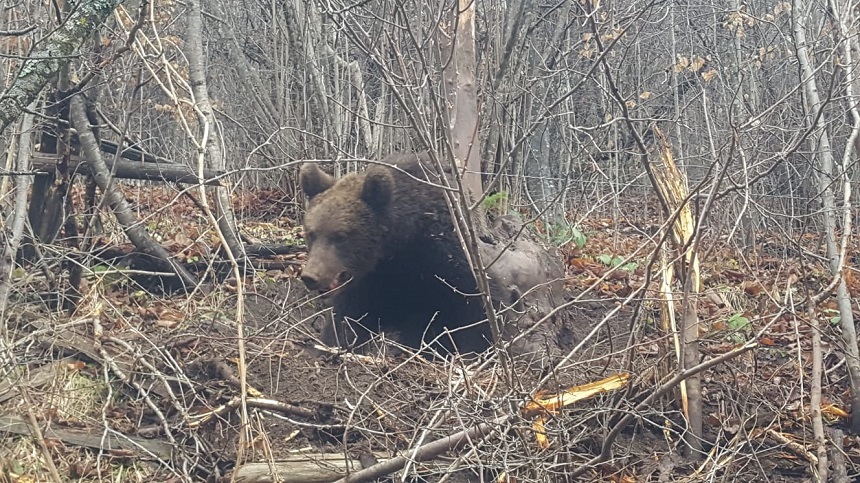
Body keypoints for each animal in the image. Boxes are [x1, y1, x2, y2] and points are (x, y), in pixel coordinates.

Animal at [298, 151, 568, 360]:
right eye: (311, 232)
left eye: (341, 236)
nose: (311, 276)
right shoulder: (375, 277)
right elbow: (349, 316)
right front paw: (331, 347)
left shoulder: (449, 259)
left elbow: (477, 311)